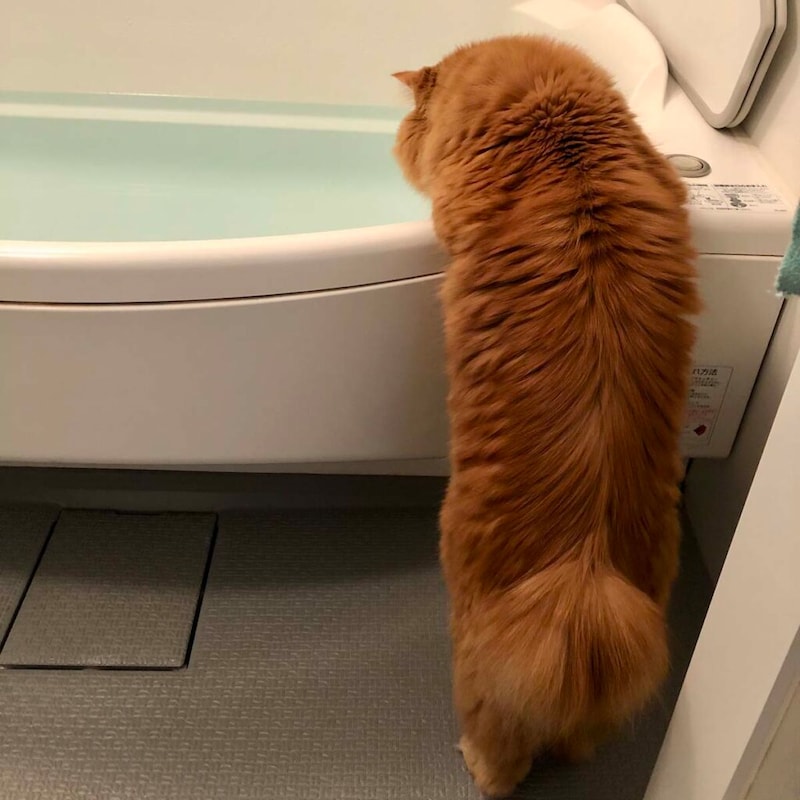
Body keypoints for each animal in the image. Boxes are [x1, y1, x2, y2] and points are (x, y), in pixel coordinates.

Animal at [393, 36, 700, 798]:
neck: (557, 135)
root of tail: (583, 576)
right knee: (577, 736)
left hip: (469, 613)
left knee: (500, 741)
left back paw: (474, 761)